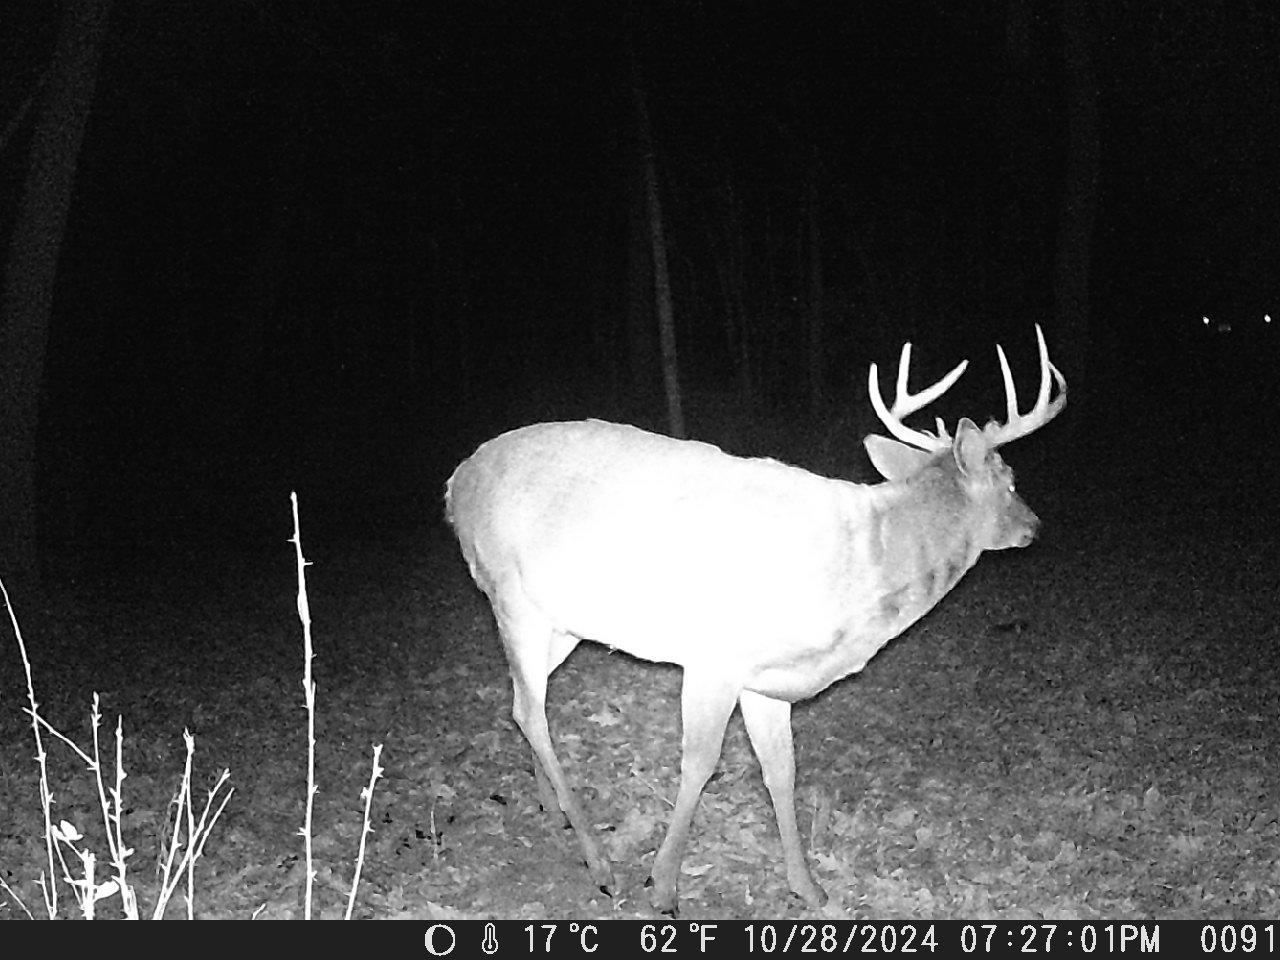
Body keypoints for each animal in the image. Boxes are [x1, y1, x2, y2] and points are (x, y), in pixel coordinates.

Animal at [445, 324, 1066, 915]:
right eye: (1010, 481)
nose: (1035, 526)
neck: (865, 563)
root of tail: (455, 484)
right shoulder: (715, 658)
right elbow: (700, 764)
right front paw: (662, 887)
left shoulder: (767, 681)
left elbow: (782, 771)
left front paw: (808, 888)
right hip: (511, 596)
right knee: (529, 710)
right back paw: (599, 862)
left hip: (562, 624)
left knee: (525, 700)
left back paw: (554, 810)